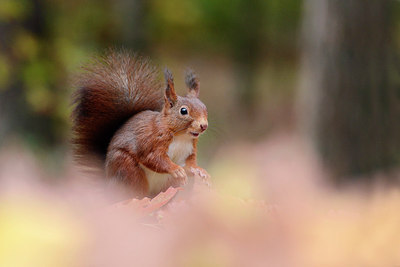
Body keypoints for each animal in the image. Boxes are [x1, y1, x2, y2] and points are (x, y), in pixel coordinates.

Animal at [72, 50, 209, 198]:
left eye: (205, 108)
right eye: (183, 111)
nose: (204, 126)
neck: (181, 136)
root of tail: (108, 186)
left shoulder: (189, 150)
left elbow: (189, 165)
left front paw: (200, 171)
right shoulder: (151, 141)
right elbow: (154, 159)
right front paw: (176, 169)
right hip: (128, 170)